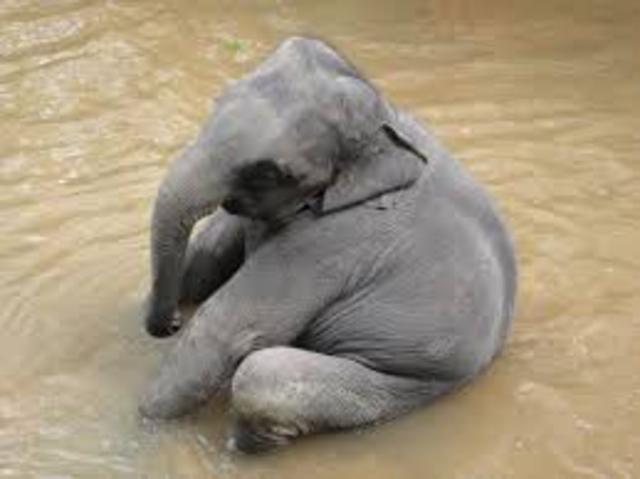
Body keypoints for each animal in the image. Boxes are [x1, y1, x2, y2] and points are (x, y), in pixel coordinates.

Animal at [139, 36, 517, 453]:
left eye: (269, 172)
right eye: (218, 99)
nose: (172, 322)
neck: (385, 116)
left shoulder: (332, 241)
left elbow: (221, 331)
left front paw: (143, 432)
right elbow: (202, 266)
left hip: (414, 381)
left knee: (262, 376)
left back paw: (240, 447)